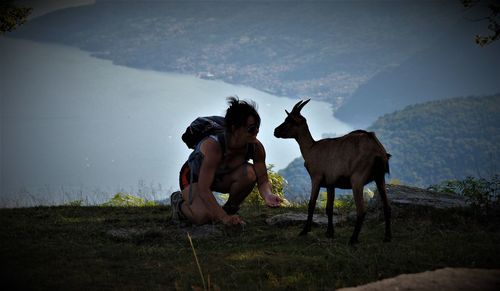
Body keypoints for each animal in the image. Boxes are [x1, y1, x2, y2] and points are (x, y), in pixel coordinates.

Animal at [274, 100, 390, 246]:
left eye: (289, 120)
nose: (275, 131)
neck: (311, 148)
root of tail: (378, 151)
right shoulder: (331, 183)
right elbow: (329, 208)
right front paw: (330, 233)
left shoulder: (316, 178)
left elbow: (311, 204)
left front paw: (304, 231)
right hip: (380, 177)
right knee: (387, 206)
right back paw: (387, 237)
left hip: (357, 179)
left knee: (361, 210)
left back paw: (353, 239)